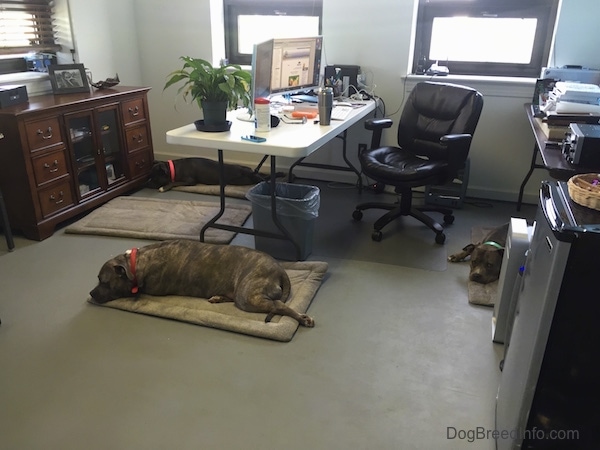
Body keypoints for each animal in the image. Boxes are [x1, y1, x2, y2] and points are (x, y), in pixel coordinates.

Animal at [90, 239, 314, 326]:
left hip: (247, 297)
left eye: (104, 281)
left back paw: (302, 318)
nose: (91, 294)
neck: (135, 263)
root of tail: (280, 269)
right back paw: (218, 297)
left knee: (279, 305)